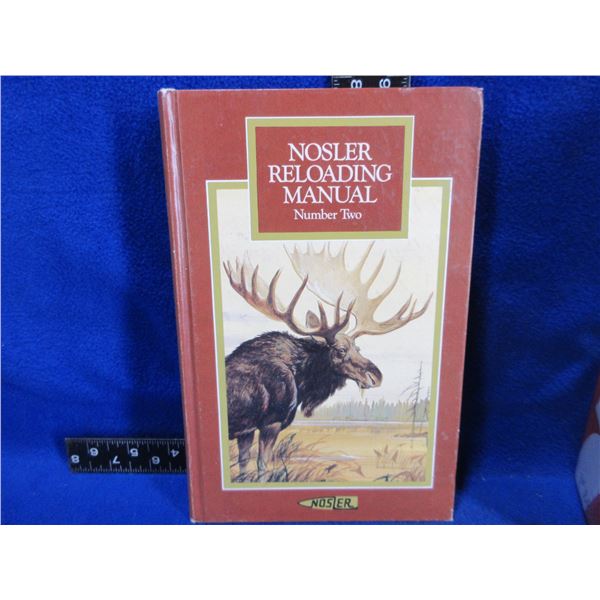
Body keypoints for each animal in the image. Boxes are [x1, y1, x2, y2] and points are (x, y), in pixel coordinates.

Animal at [223, 242, 432, 480]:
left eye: (358, 348)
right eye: (341, 350)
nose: (376, 375)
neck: (301, 377)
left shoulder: (246, 430)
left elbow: (242, 467)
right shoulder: (270, 423)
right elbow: (262, 467)